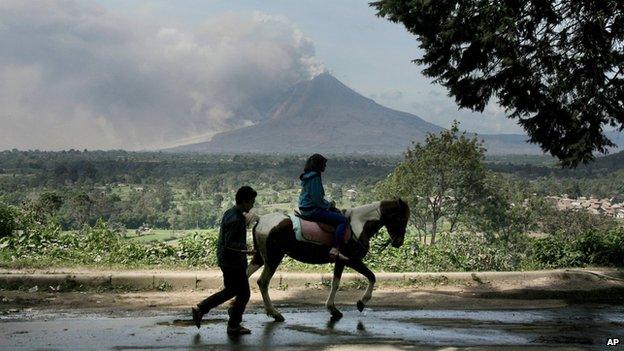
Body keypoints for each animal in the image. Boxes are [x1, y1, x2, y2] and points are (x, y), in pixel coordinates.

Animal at [246, 199, 412, 324]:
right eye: (402, 218)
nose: (399, 242)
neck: (358, 225)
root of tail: (260, 220)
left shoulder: (340, 262)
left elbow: (335, 283)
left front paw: (333, 309)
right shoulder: (352, 261)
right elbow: (372, 277)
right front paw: (361, 302)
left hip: (259, 257)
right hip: (273, 258)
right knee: (263, 282)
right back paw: (274, 313)